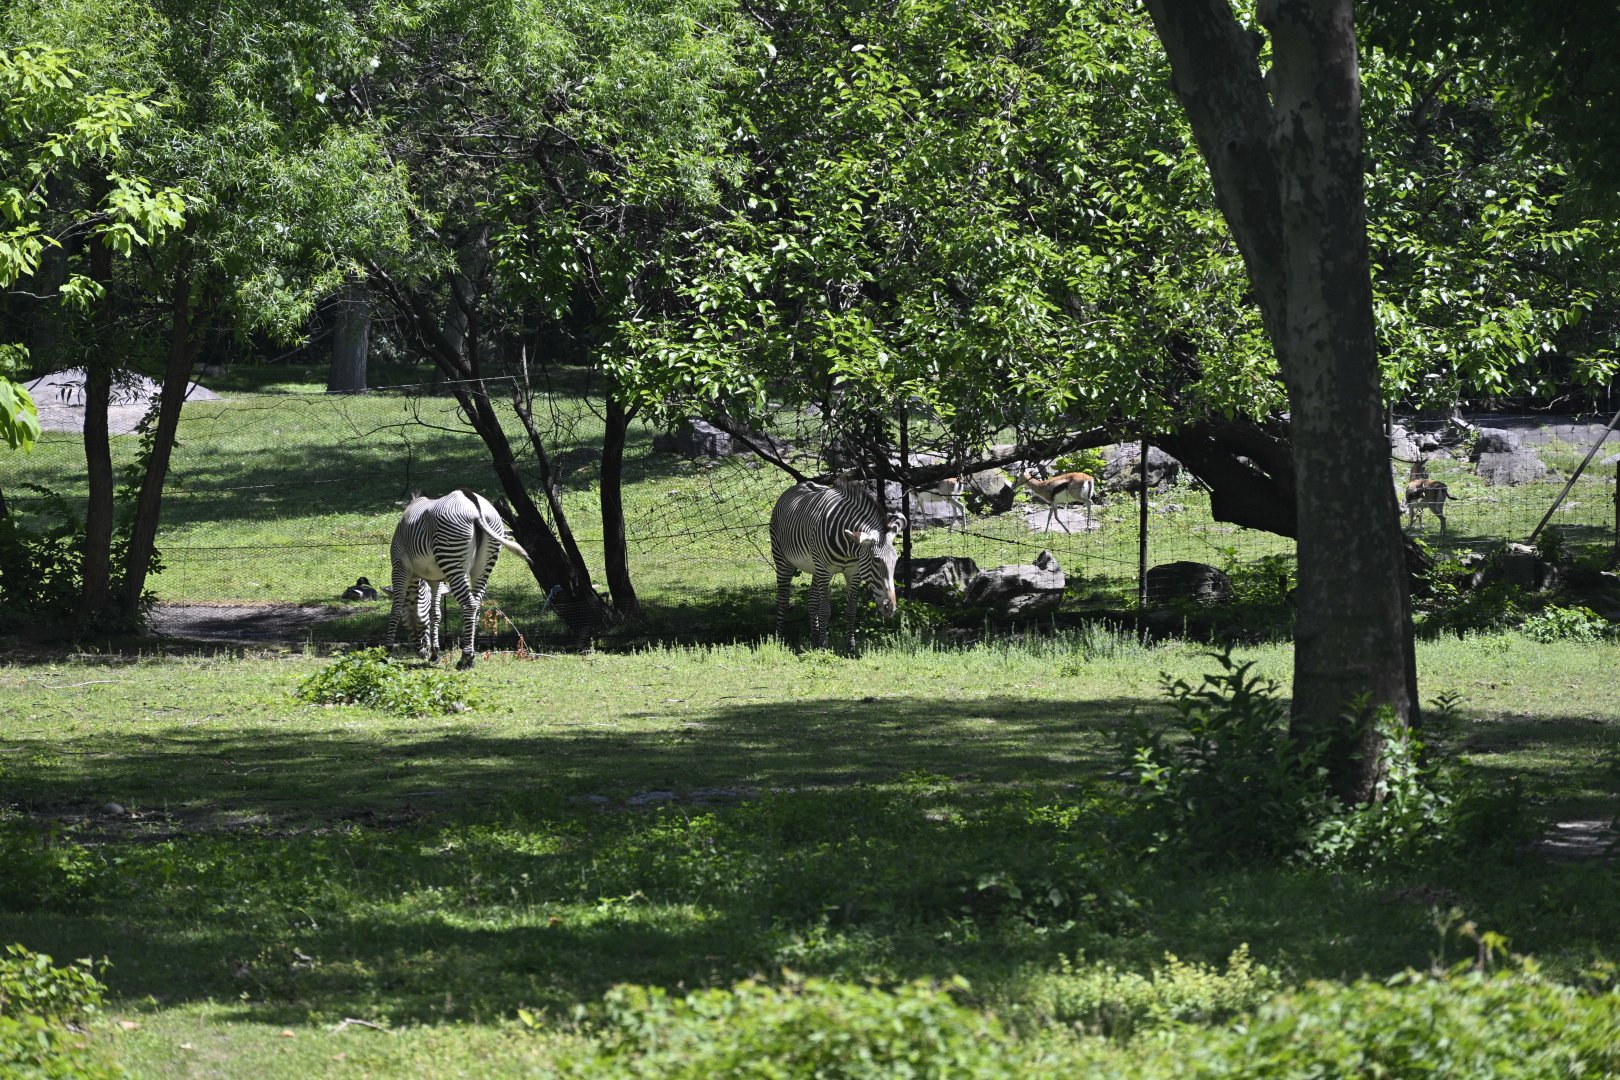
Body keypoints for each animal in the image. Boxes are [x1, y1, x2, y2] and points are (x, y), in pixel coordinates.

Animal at [386, 489, 530, 668]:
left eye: (418, 624)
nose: (422, 653)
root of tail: (473, 503)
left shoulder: (399, 567)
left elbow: (395, 609)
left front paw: (386, 651)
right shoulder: (435, 579)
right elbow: (435, 613)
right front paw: (435, 653)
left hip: (452, 559)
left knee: (469, 605)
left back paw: (465, 658)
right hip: (483, 565)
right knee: (476, 606)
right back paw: (469, 656)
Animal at [770, 478, 905, 652]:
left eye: (896, 560)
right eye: (876, 560)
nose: (890, 608)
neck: (849, 548)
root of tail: (799, 486)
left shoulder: (854, 573)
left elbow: (851, 611)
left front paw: (850, 646)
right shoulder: (824, 571)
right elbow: (825, 610)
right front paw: (823, 646)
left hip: (814, 567)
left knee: (812, 600)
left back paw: (814, 639)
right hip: (783, 559)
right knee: (783, 599)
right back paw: (779, 638)